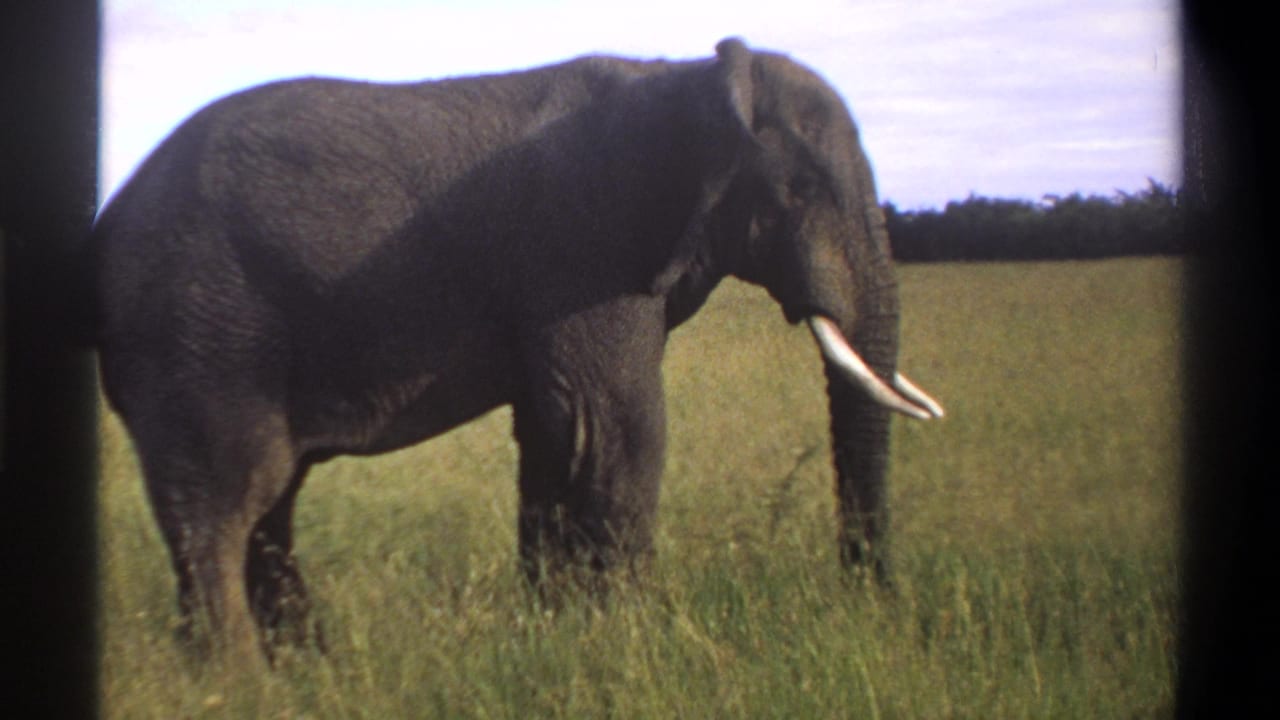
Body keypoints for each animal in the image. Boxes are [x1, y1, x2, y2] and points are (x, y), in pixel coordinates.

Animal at [92, 37, 942, 661]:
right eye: (802, 189)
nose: (870, 604)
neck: (688, 78)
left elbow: (554, 436)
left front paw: (555, 636)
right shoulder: (588, 247)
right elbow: (618, 430)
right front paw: (635, 647)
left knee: (268, 509)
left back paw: (305, 669)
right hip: (198, 333)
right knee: (224, 501)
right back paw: (240, 682)